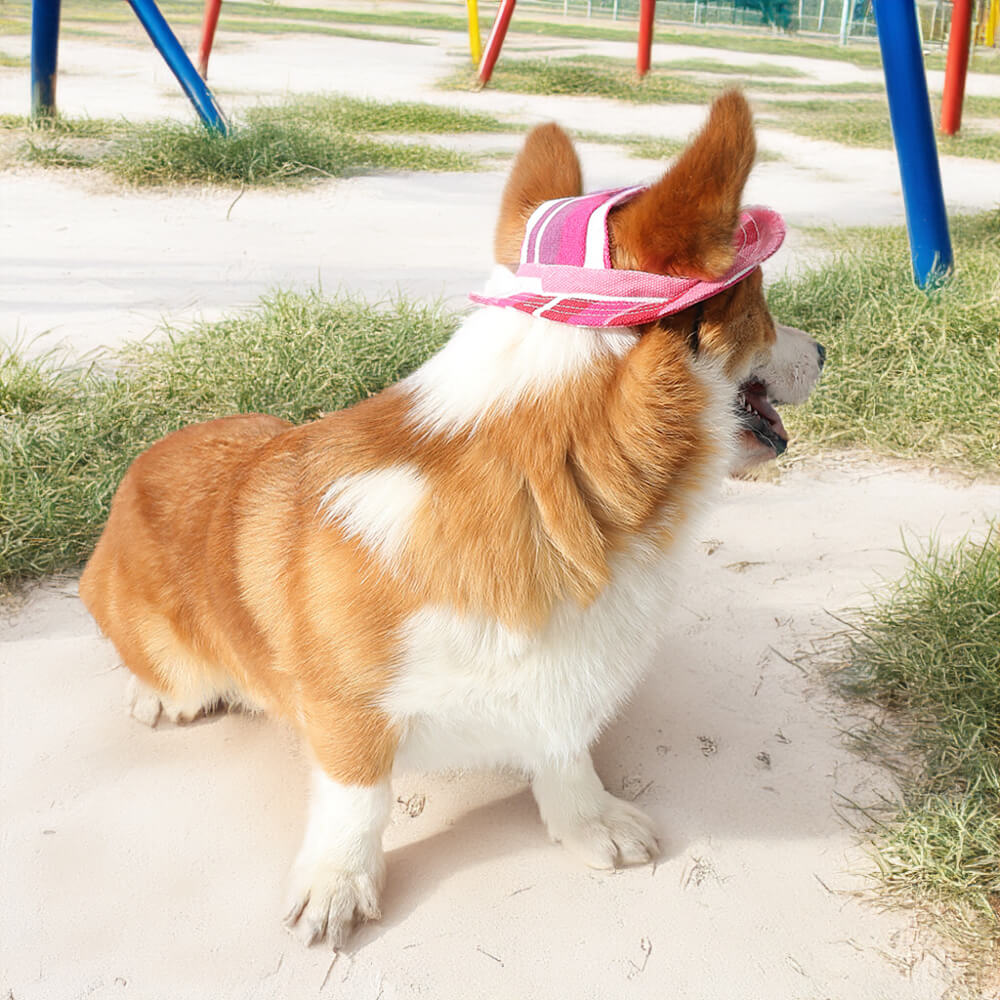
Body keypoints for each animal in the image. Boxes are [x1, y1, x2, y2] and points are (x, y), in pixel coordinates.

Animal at [80, 92, 820, 944]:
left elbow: (565, 756)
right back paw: (155, 696)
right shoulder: (346, 714)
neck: (552, 491)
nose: (825, 351)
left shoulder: (560, 698)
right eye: (764, 305)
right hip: (160, 640)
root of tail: (139, 466)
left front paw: (588, 822)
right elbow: (356, 801)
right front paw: (337, 884)